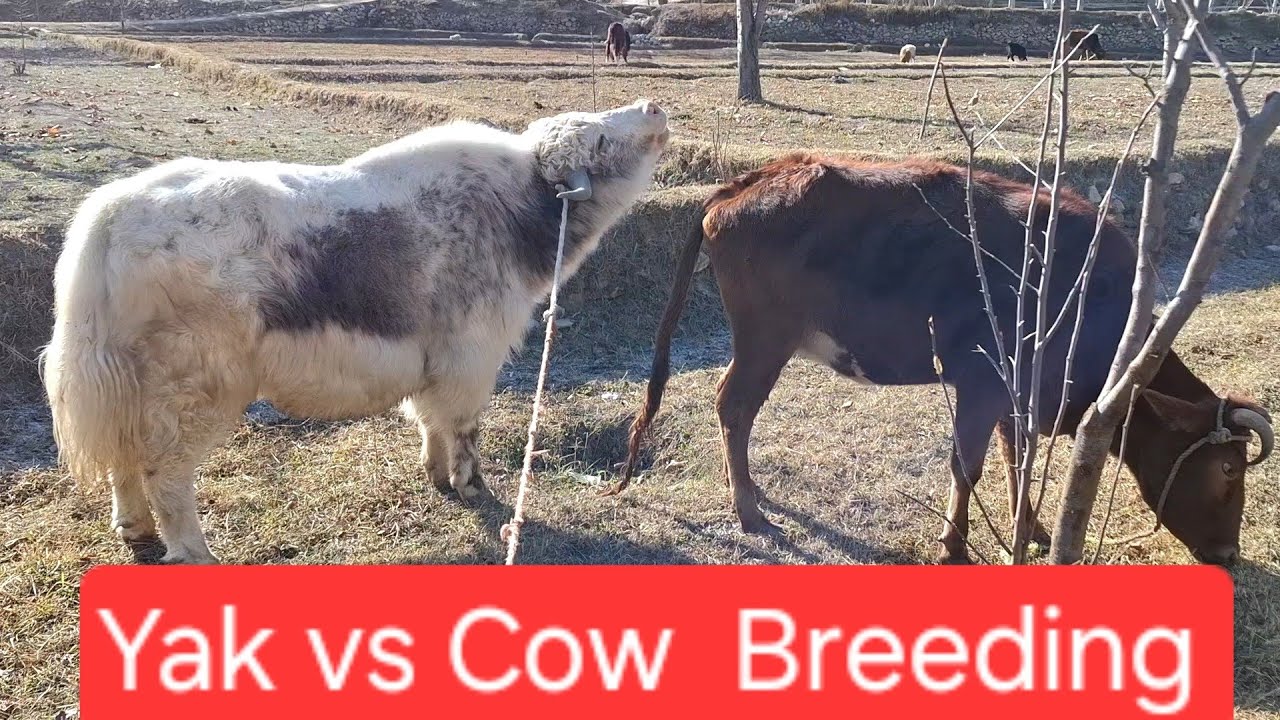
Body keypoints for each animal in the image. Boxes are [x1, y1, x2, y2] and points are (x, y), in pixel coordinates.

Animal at [43, 100, 670, 564]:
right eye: (598, 141)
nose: (653, 108)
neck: (516, 207)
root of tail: (110, 213)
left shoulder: (434, 360)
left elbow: (428, 418)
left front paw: (436, 478)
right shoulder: (471, 354)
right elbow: (462, 424)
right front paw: (471, 486)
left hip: (130, 383)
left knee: (124, 456)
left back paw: (136, 531)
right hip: (194, 389)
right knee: (165, 470)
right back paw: (195, 552)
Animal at [620, 154, 1273, 566]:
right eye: (1227, 469)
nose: (1228, 555)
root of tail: (747, 181)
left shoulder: (1016, 395)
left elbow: (1016, 459)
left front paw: (1033, 530)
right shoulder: (981, 384)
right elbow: (968, 466)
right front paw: (953, 547)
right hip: (764, 340)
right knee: (733, 407)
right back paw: (750, 510)